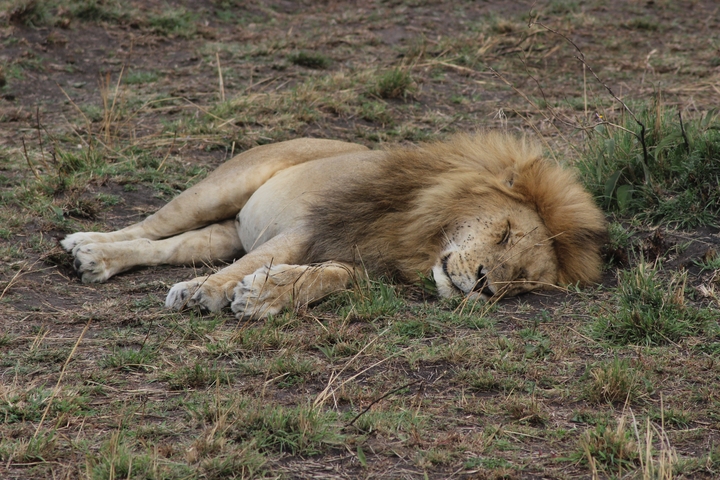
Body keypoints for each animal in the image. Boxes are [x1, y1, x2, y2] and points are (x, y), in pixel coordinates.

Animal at [61, 133, 607, 318]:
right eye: (505, 232)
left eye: (522, 284)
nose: (485, 286)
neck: (419, 240)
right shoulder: (313, 225)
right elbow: (262, 259)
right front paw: (205, 292)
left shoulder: (368, 264)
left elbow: (326, 275)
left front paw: (265, 295)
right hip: (221, 188)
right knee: (150, 226)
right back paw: (87, 246)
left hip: (226, 230)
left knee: (171, 247)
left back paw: (100, 260)